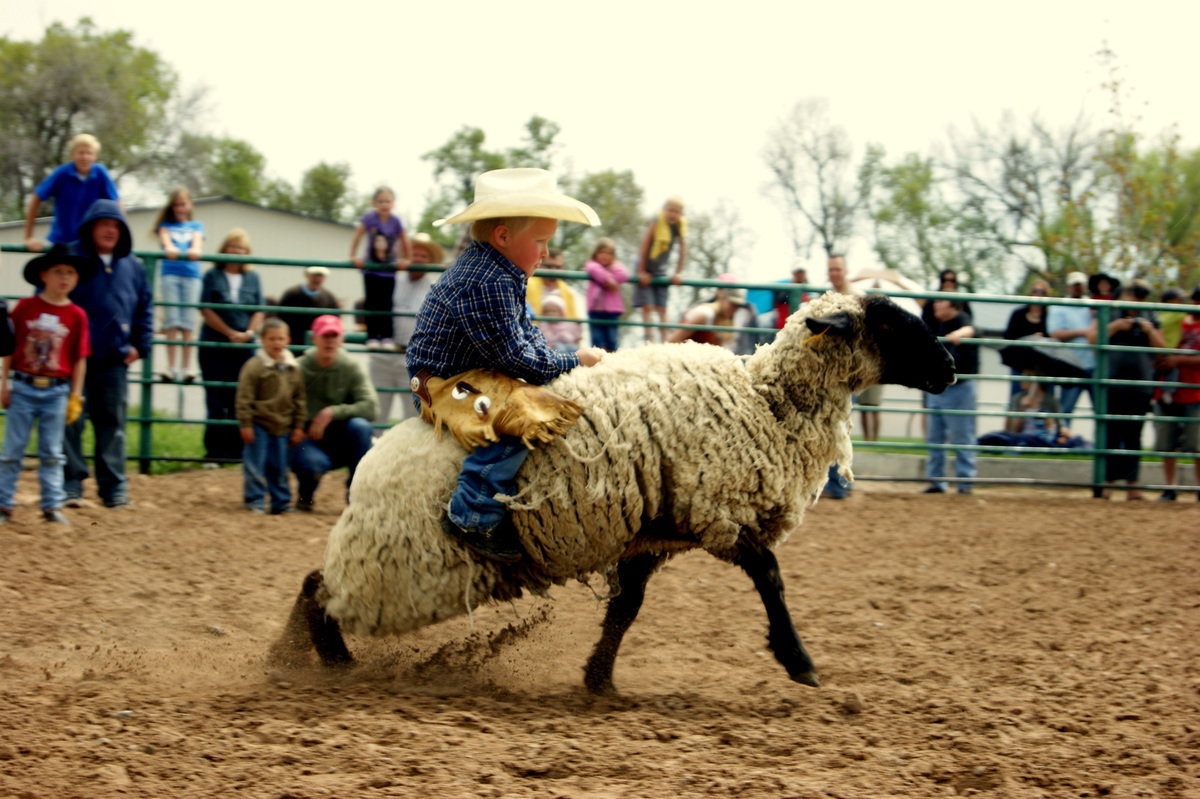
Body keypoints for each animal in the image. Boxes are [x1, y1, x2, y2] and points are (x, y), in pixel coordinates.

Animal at [274, 292, 955, 691]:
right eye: (891, 322)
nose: (950, 367)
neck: (767, 401)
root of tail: (369, 467)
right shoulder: (719, 514)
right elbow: (770, 576)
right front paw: (799, 662)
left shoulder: (656, 534)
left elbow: (627, 608)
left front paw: (599, 678)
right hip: (404, 569)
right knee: (322, 591)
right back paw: (330, 663)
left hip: (393, 563)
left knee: (312, 582)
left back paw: (289, 655)